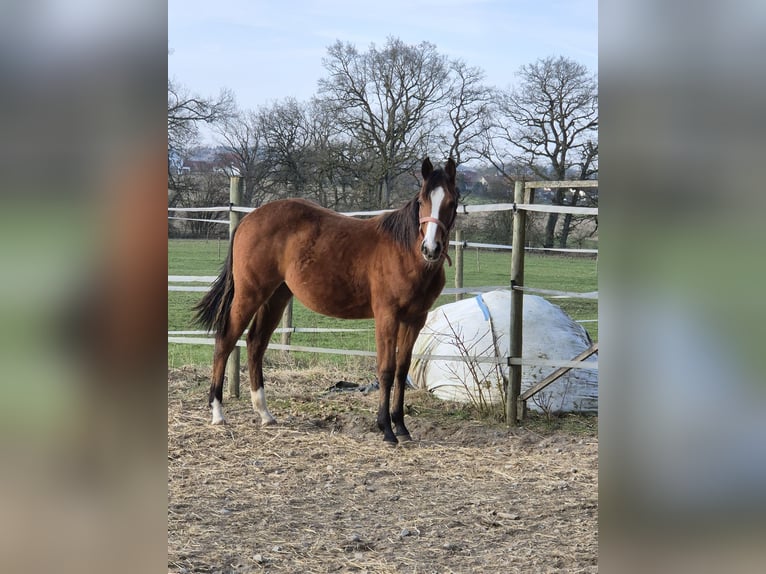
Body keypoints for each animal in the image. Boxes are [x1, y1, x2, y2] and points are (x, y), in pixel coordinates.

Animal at [194, 157, 459, 444]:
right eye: (422, 200)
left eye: (451, 201)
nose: (430, 249)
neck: (405, 252)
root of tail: (248, 219)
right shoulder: (387, 315)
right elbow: (386, 370)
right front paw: (386, 429)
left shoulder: (415, 318)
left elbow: (401, 369)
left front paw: (401, 426)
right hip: (250, 293)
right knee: (226, 340)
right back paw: (218, 412)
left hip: (276, 296)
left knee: (255, 343)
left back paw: (264, 413)